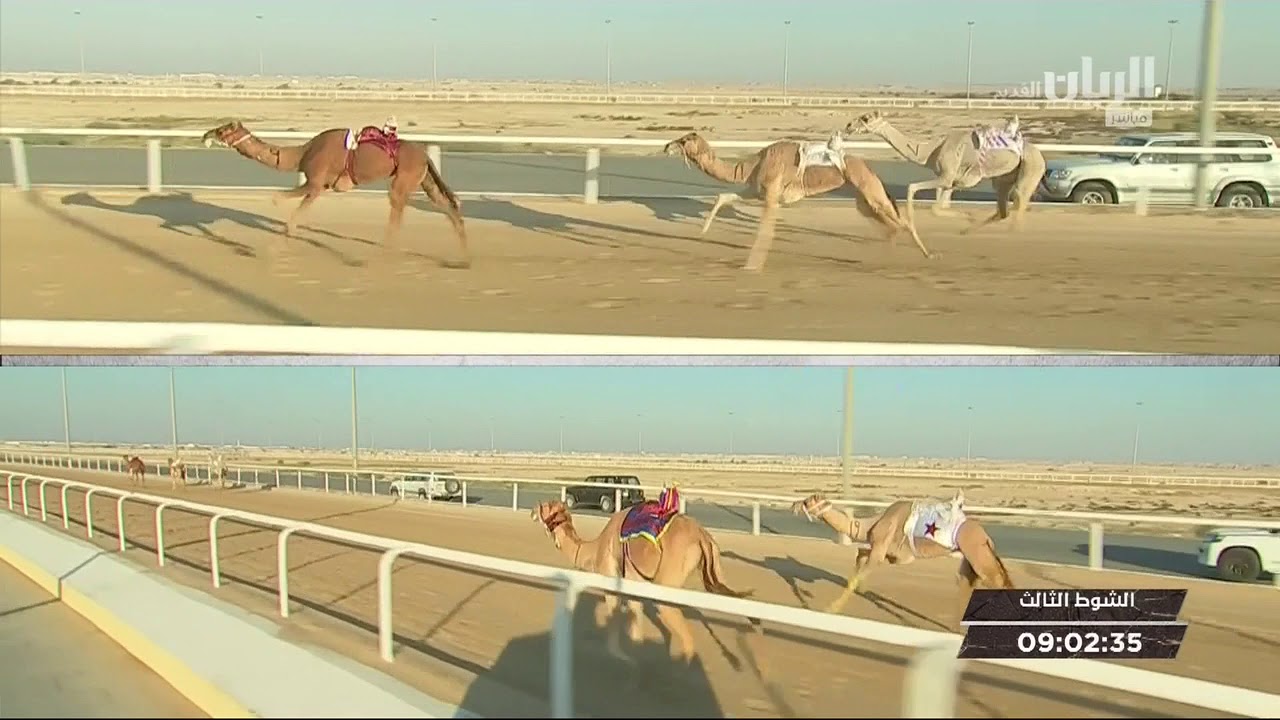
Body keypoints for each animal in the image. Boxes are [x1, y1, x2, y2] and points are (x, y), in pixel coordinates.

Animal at [200, 119, 471, 267]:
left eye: (224, 129)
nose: (205, 134)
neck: (302, 153)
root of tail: (425, 155)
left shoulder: (315, 183)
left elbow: (287, 209)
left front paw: (270, 250)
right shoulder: (321, 187)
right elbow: (295, 216)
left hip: (404, 177)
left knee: (397, 209)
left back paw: (374, 257)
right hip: (423, 179)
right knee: (445, 205)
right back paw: (462, 258)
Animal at [531, 491, 760, 666]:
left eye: (543, 507)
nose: (533, 511)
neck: (595, 549)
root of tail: (702, 536)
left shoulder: (611, 579)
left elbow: (614, 615)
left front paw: (618, 656)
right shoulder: (634, 584)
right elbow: (635, 619)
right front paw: (635, 654)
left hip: (667, 580)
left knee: (685, 634)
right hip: (714, 567)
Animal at [663, 131, 932, 272]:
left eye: (684, 141)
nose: (666, 146)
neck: (751, 165)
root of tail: (870, 168)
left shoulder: (771, 196)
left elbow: (765, 231)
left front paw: (751, 266)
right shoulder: (756, 191)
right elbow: (724, 196)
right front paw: (702, 232)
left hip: (868, 189)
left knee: (901, 221)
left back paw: (927, 255)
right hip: (862, 197)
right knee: (889, 222)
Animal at [790, 489, 1013, 629]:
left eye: (807, 501)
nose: (793, 505)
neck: (871, 524)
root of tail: (987, 538)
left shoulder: (883, 549)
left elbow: (860, 569)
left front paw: (831, 608)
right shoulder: (892, 555)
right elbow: (860, 555)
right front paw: (861, 587)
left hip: (979, 557)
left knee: (999, 583)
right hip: (971, 561)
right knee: (968, 585)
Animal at [844, 111, 1047, 235]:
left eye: (866, 118)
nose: (848, 125)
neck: (931, 151)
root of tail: (1041, 156)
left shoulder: (946, 177)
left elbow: (913, 189)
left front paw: (967, 217)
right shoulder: (950, 182)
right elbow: (938, 207)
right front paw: (966, 220)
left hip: (1031, 168)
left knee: (1019, 203)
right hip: (1003, 178)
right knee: (1003, 209)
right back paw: (968, 231)